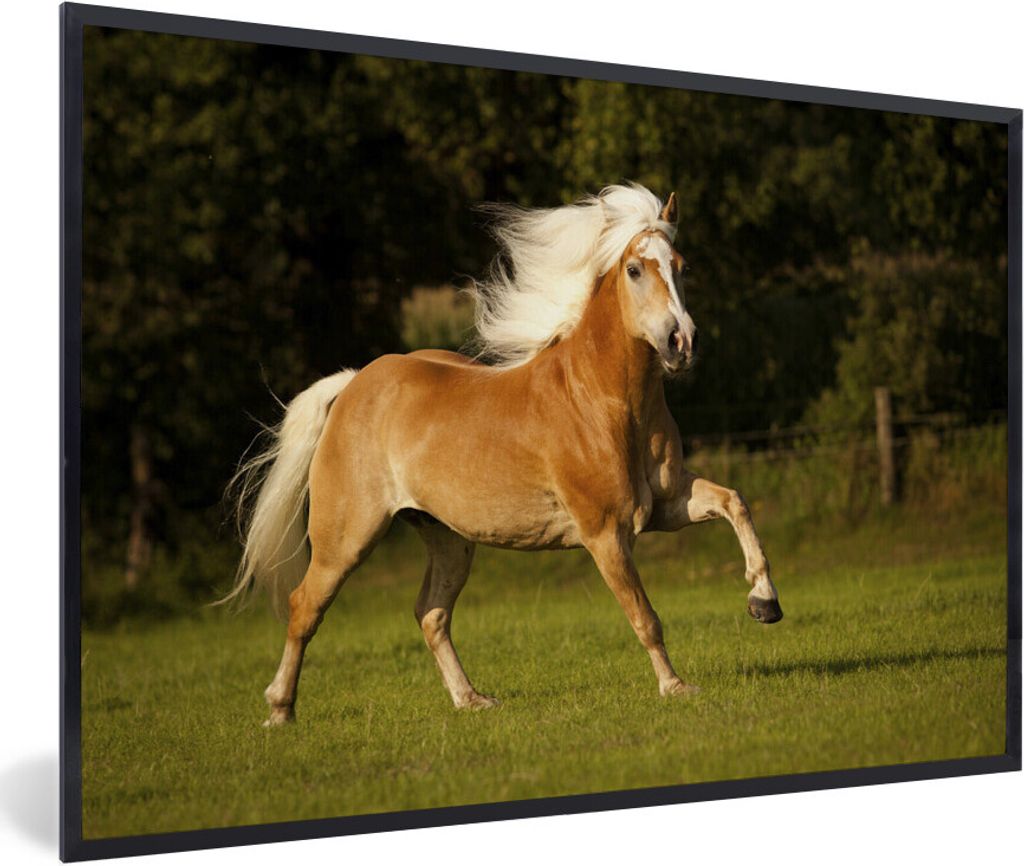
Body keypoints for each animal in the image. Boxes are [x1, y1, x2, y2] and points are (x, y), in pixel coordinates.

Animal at [222, 183, 782, 726]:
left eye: (682, 266)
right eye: (635, 269)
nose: (681, 342)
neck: (602, 399)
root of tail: (353, 386)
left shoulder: (667, 505)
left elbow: (735, 502)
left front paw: (764, 603)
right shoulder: (605, 533)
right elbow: (644, 616)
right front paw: (676, 687)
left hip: (447, 538)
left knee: (431, 613)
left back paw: (471, 700)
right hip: (347, 538)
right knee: (305, 607)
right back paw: (280, 710)